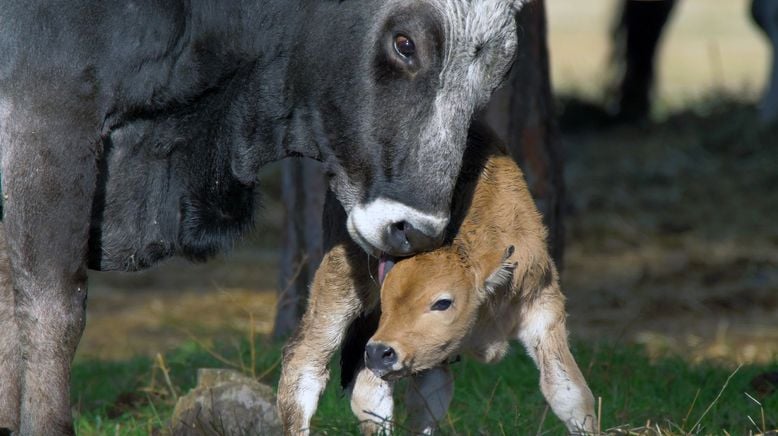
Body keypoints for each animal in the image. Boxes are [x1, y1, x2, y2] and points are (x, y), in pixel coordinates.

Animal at [278, 124, 596, 434]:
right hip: (340, 287)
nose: (381, 352)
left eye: (443, 302)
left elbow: (570, 394)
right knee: (305, 368)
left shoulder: (543, 305)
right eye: (385, 298)